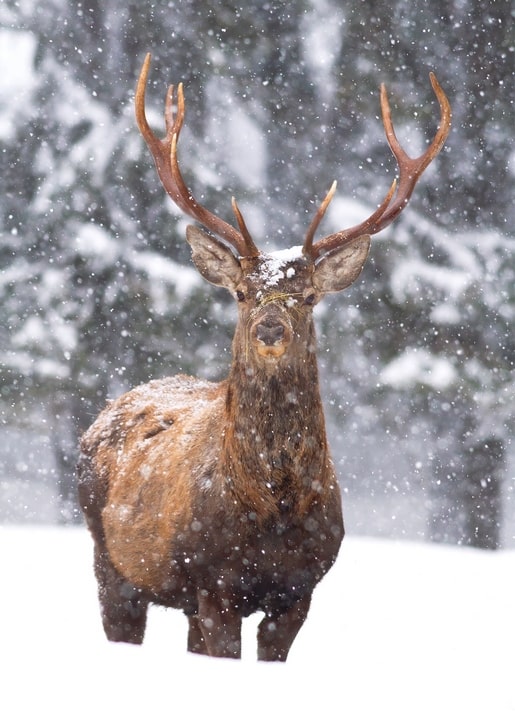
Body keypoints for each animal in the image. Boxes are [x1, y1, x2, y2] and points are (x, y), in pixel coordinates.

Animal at [78, 53, 451, 661]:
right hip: (110, 561)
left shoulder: (298, 592)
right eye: (241, 292)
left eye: (308, 295)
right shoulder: (214, 581)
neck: (272, 512)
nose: (270, 327)